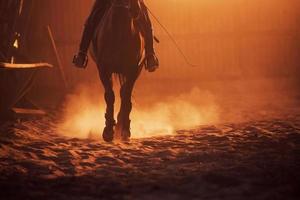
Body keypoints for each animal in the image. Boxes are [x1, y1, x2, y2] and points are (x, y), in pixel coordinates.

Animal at [90, 0, 145, 142]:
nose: (136, 10)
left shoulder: (132, 70)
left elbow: (125, 96)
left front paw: (124, 129)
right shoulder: (104, 69)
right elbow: (110, 96)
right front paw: (108, 130)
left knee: (124, 93)